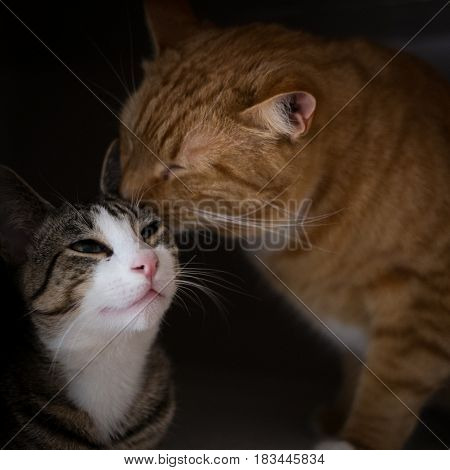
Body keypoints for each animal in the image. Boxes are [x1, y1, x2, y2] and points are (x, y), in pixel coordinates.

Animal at [118, 0, 450, 448]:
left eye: (175, 168)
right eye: (128, 142)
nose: (124, 198)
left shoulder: (422, 305)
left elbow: (389, 389)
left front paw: (358, 442)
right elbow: (357, 370)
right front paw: (339, 417)